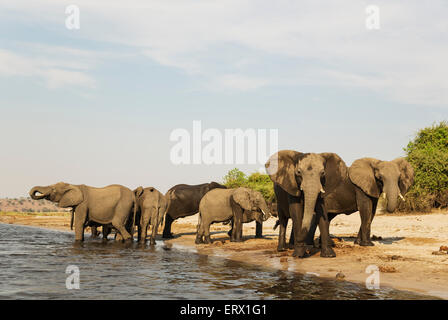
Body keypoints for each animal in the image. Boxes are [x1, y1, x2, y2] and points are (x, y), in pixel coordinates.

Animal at [264, 150, 414, 258]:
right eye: (380, 178)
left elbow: (371, 212)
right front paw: (367, 244)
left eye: (399, 178)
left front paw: (358, 243)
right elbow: (366, 209)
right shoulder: (360, 188)